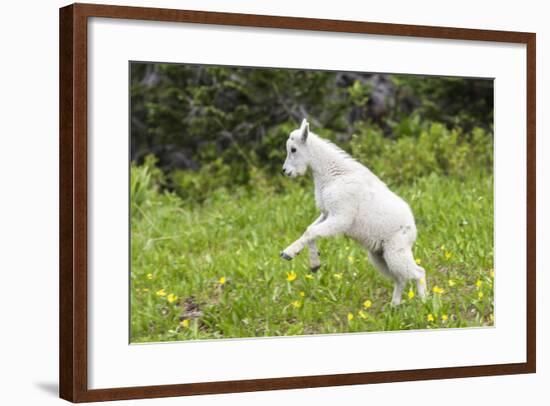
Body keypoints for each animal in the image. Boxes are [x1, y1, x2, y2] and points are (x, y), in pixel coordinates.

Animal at [282, 118, 430, 304]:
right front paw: (308, 261)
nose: (286, 171)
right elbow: (309, 230)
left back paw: (425, 303)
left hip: (396, 251)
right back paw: (394, 306)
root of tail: (413, 229)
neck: (332, 175)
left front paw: (295, 256)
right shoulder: (327, 213)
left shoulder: (341, 217)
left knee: (418, 272)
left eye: (293, 149)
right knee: (400, 278)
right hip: (378, 256)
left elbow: (312, 232)